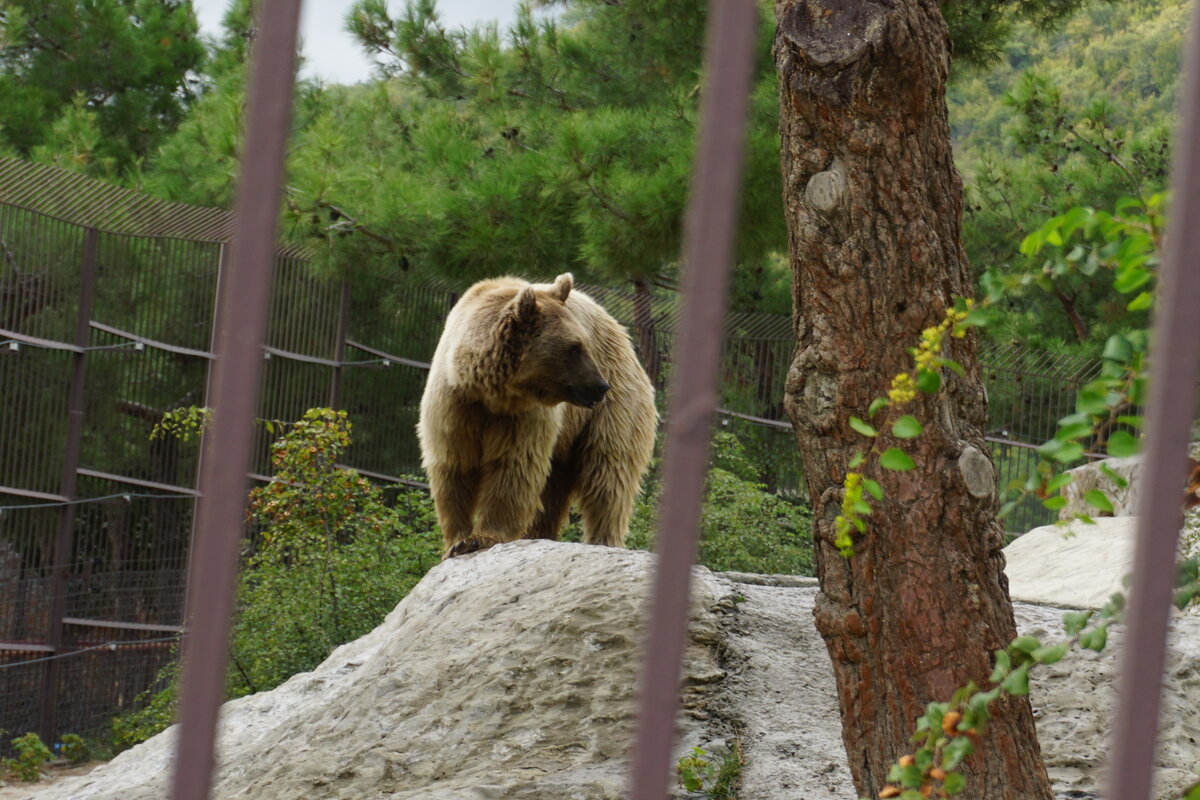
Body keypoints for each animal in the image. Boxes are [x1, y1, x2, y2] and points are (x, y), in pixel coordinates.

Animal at [415, 273, 657, 556]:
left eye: (584, 343)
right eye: (574, 348)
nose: (600, 386)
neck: (490, 391)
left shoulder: (523, 415)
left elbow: (514, 464)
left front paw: (483, 537)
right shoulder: (455, 404)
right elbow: (453, 465)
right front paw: (457, 541)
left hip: (614, 410)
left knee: (607, 475)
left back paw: (603, 540)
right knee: (552, 490)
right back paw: (538, 533)